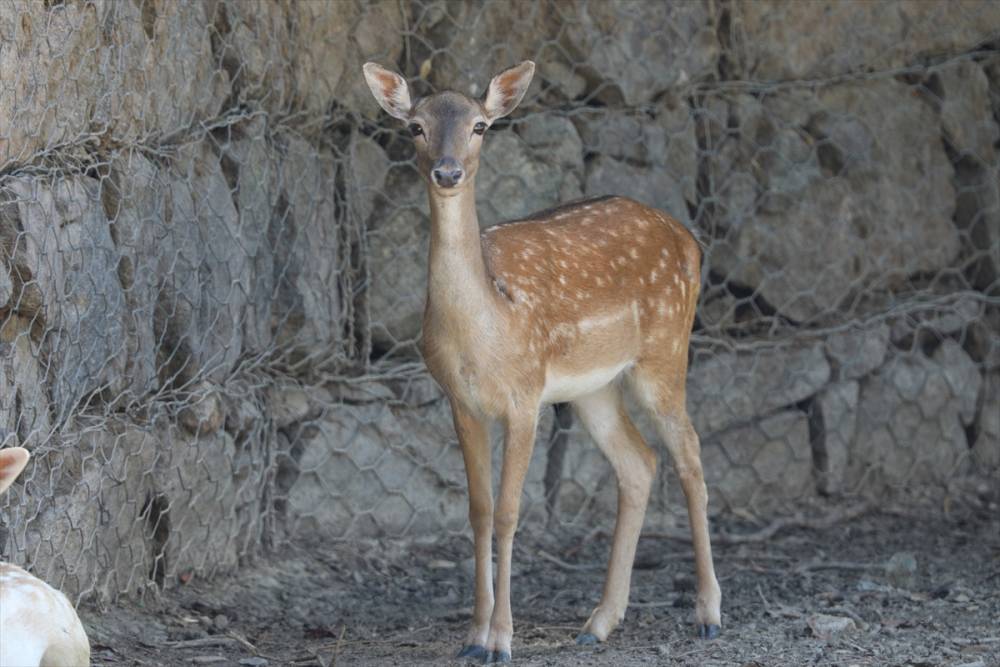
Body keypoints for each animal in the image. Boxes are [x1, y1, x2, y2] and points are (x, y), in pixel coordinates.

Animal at [364, 61, 724, 664]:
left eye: (480, 125)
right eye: (415, 126)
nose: (447, 171)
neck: (484, 332)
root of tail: (691, 242)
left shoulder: (524, 393)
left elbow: (511, 512)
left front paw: (501, 639)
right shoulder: (460, 401)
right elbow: (479, 510)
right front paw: (472, 635)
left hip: (665, 351)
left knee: (691, 457)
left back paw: (709, 614)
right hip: (593, 388)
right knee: (639, 463)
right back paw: (598, 622)